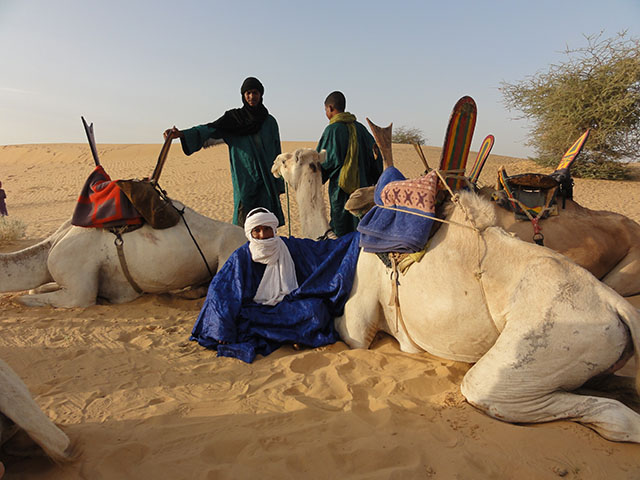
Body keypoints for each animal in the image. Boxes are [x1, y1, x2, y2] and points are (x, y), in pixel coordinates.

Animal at [272, 147, 640, 442]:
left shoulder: (360, 314)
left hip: (541, 351)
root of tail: (616, 306)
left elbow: (348, 331)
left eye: (291, 158)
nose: (275, 163)